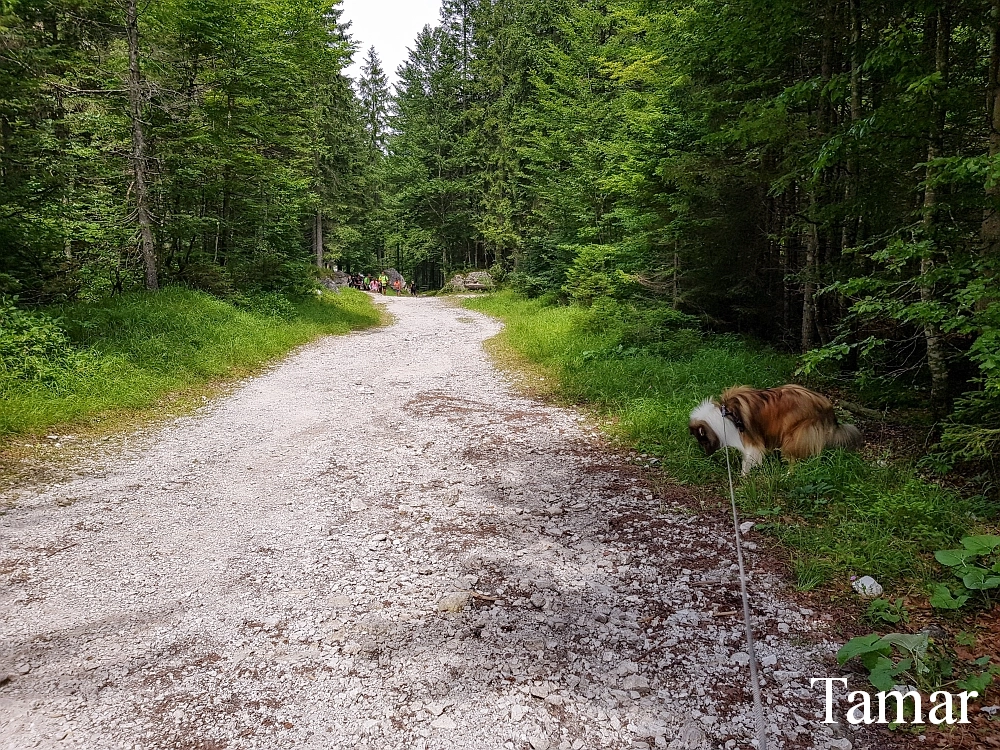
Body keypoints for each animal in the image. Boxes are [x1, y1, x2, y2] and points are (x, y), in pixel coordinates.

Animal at [688, 388, 860, 476]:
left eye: (702, 440)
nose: (706, 455)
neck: (725, 415)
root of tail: (827, 406)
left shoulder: (751, 441)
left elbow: (748, 460)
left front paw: (744, 478)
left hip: (794, 435)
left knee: (793, 459)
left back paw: (787, 475)